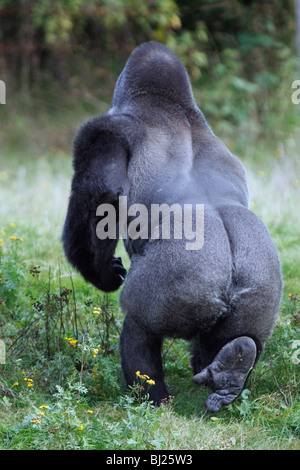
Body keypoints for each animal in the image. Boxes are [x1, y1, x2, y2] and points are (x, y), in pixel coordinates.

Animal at [62, 43, 282, 412]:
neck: (172, 107)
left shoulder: (105, 129)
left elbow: (103, 196)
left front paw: (101, 273)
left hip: (184, 284)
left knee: (139, 326)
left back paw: (151, 399)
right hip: (260, 290)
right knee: (238, 338)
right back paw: (232, 369)